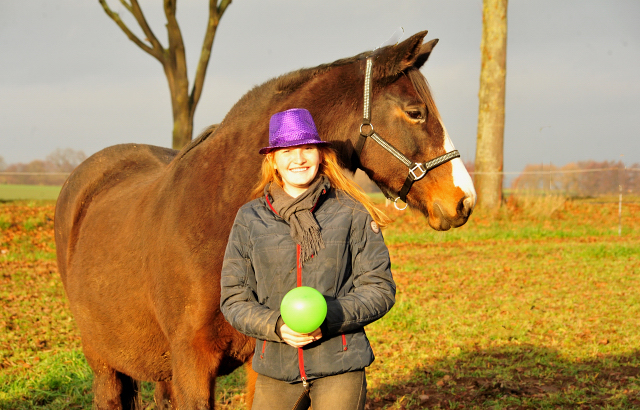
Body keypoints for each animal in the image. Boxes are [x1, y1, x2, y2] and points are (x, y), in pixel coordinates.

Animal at [53, 30, 476, 408]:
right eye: (415, 112)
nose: (464, 200)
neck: (214, 215)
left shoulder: (261, 361)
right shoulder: (191, 365)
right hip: (104, 364)